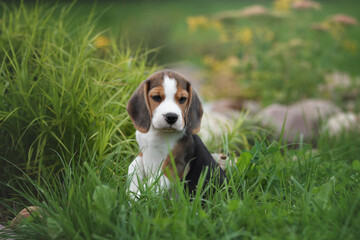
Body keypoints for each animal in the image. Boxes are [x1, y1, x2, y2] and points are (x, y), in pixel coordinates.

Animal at [126, 70, 225, 198]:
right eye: (156, 97)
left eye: (182, 99)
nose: (171, 117)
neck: (158, 133)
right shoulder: (142, 152)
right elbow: (133, 166)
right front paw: (130, 192)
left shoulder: (173, 167)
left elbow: (149, 187)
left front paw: (136, 198)